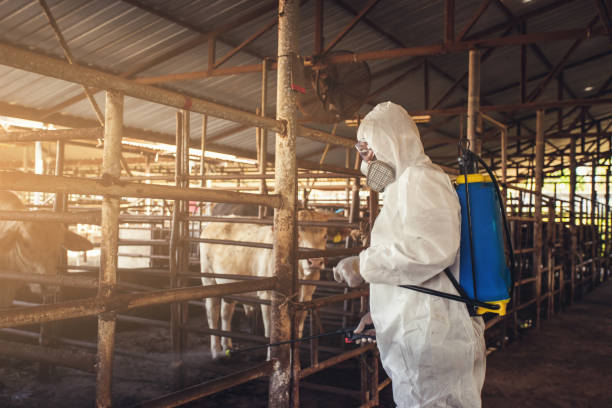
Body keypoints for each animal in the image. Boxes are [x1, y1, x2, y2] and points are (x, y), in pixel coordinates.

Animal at [201, 209, 334, 358]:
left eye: (325, 236)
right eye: (298, 235)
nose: (315, 262)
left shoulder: (306, 298)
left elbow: (298, 332)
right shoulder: (268, 296)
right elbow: (271, 332)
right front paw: (272, 358)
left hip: (228, 285)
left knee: (226, 313)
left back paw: (227, 345)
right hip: (209, 279)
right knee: (212, 313)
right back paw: (216, 350)